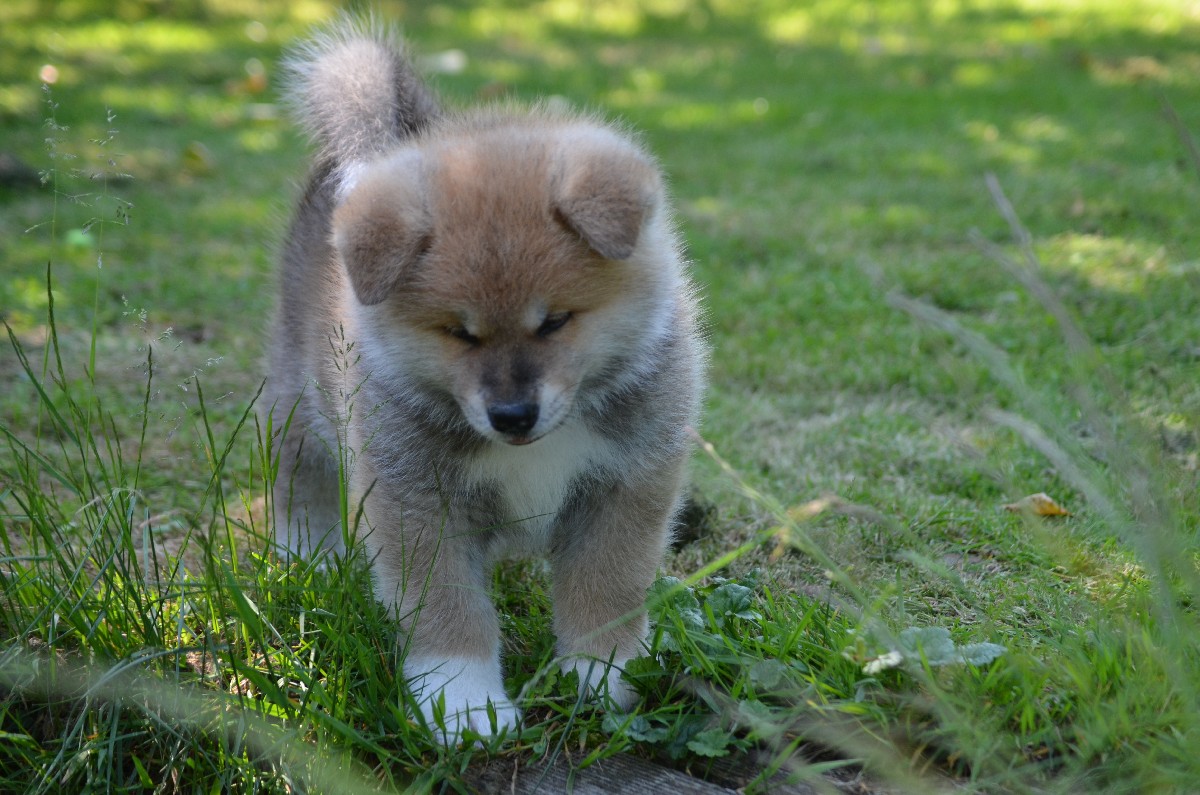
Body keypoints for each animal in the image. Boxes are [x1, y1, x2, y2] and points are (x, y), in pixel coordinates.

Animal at [263, 16, 705, 742]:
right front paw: (463, 704)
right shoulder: (418, 501)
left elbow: (607, 591)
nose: (512, 415)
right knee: (302, 479)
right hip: (298, 398)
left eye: (555, 321)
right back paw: (310, 559)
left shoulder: (626, 485)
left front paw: (602, 674)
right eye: (458, 332)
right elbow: (448, 611)